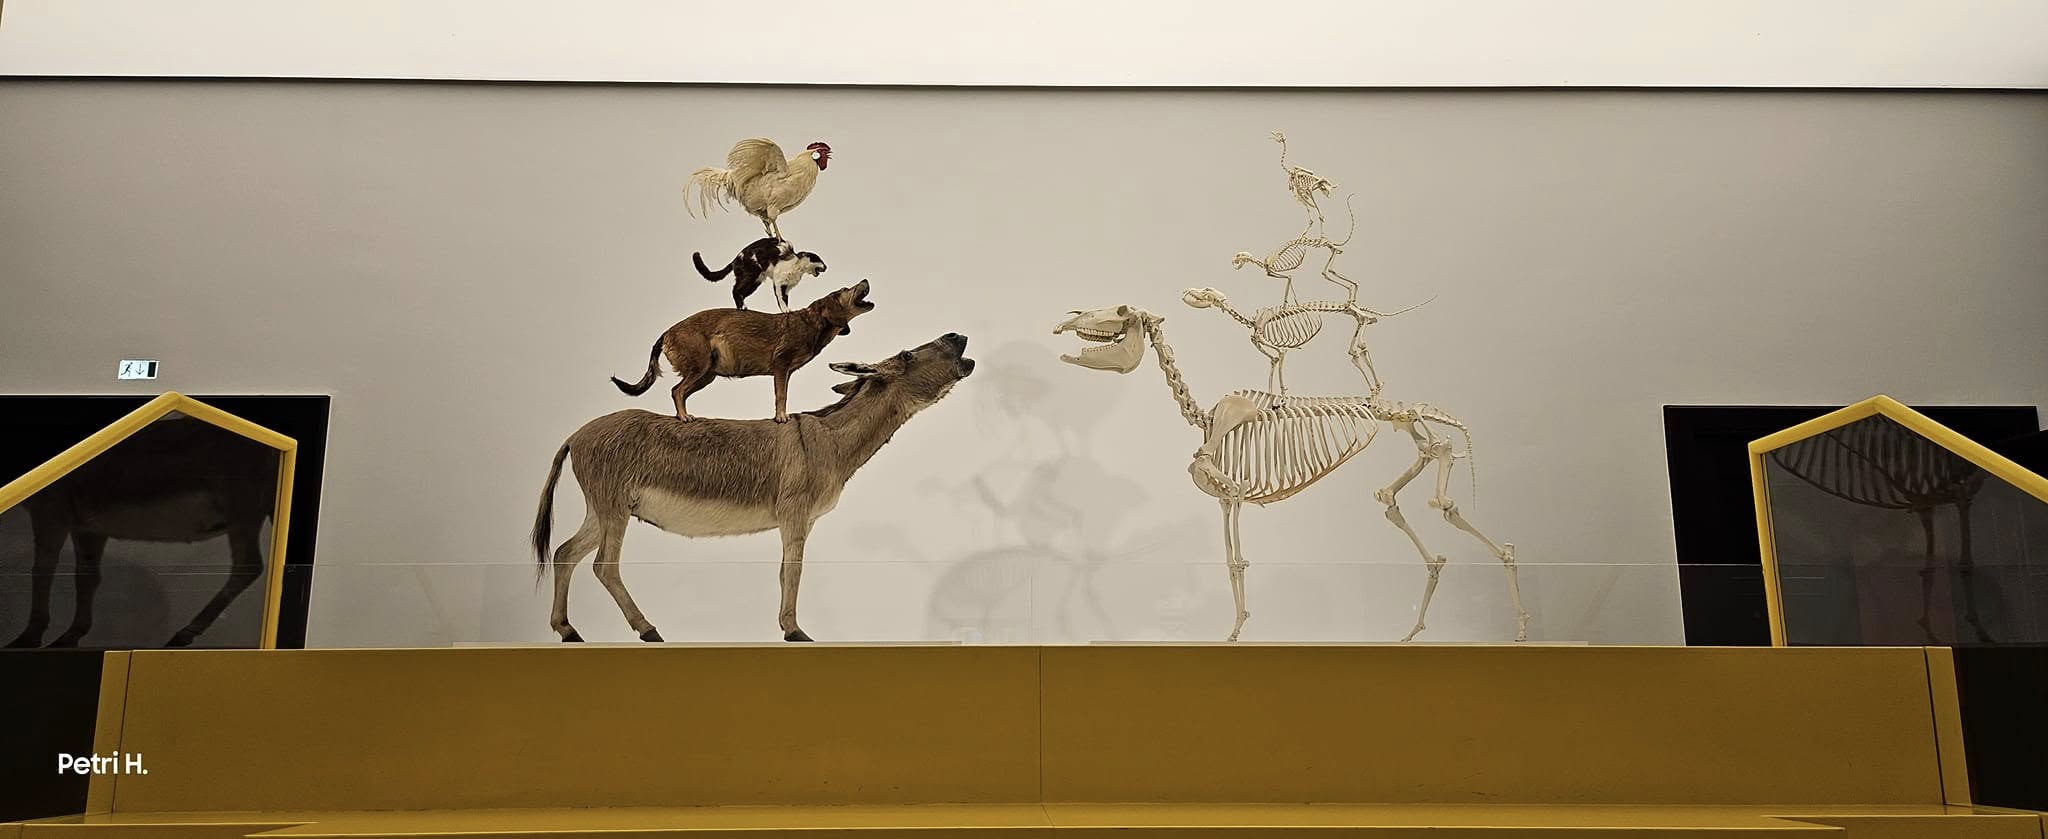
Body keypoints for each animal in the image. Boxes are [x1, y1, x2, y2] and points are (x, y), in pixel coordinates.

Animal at [6, 415, 279, 649]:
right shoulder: (87, 526)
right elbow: (86, 577)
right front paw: (71, 636)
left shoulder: (51, 511)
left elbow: (41, 572)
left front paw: (28, 638)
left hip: (243, 510)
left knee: (249, 566)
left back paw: (183, 635)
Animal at [531, 333, 975, 643]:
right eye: (906, 355)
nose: (958, 337)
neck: (829, 440)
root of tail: (576, 434)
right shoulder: (795, 513)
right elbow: (794, 570)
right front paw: (796, 631)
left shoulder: (800, 521)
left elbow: (783, 571)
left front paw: (786, 627)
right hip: (613, 509)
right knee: (604, 565)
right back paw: (648, 630)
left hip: (605, 509)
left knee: (565, 553)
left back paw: (568, 630)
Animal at [1054, 305, 1527, 642]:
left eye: (1121, 310)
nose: (1068, 318)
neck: (1205, 417)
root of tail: (1393, 407)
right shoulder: (1223, 499)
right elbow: (1228, 557)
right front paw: (1236, 626)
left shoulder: (1235, 490)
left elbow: (1238, 560)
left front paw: (1235, 630)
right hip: (1406, 430)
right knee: (1405, 483)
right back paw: (1416, 625)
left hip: (1403, 422)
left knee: (1442, 483)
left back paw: (1519, 621)